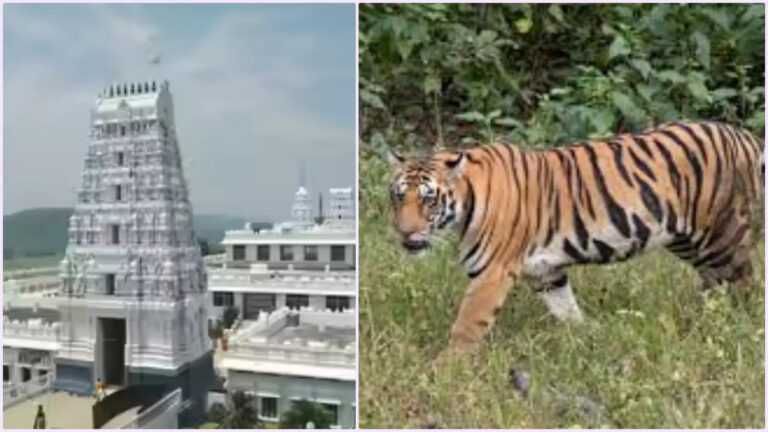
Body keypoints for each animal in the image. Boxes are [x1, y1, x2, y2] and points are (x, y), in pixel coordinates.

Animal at [387, 121, 764, 354]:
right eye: (398, 196)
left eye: (428, 200)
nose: (405, 232)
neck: (465, 204)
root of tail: (745, 136)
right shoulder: (546, 272)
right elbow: (567, 310)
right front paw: (589, 338)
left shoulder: (491, 273)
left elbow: (466, 325)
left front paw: (443, 370)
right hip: (687, 241)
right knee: (715, 283)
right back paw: (703, 319)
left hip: (723, 236)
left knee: (746, 284)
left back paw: (739, 328)